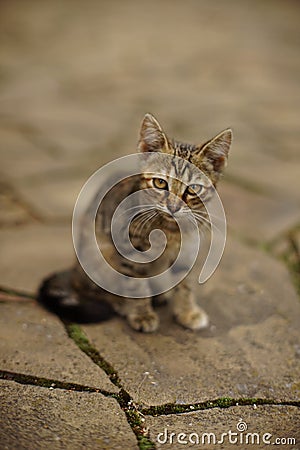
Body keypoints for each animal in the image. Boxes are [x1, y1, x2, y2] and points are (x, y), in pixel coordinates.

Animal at [39, 114, 232, 332]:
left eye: (193, 189)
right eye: (160, 183)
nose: (173, 207)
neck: (170, 229)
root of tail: (74, 271)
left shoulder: (188, 250)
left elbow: (185, 283)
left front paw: (187, 311)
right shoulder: (129, 249)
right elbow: (137, 284)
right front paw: (141, 314)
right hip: (99, 255)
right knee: (92, 289)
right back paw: (121, 303)